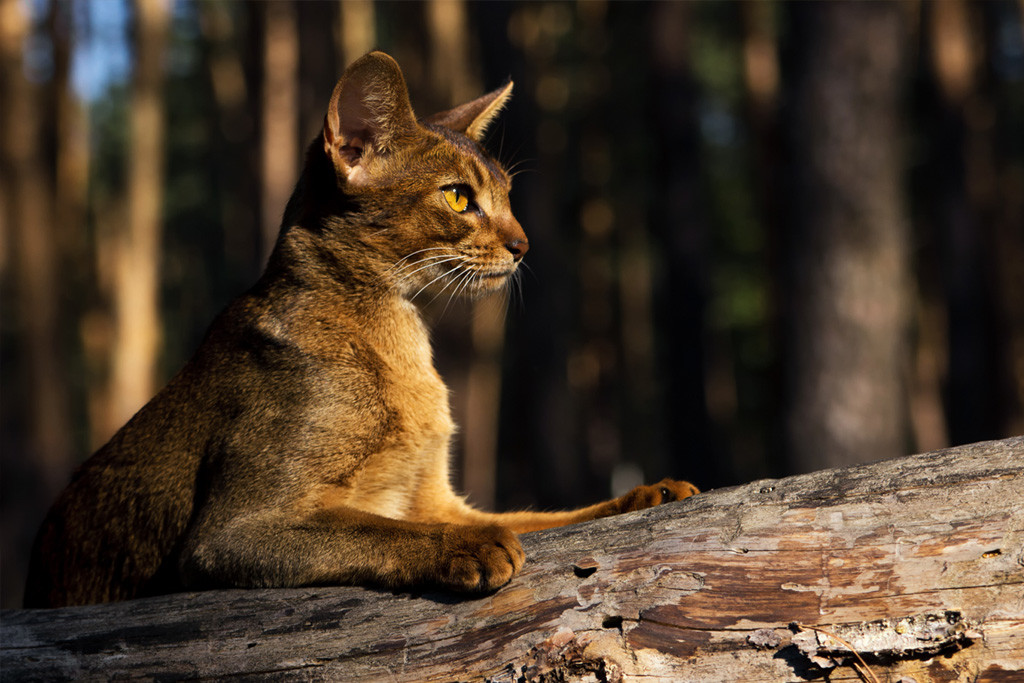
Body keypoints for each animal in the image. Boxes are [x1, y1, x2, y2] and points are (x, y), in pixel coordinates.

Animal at [24, 52, 700, 610]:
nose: (522, 245)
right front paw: (470, 545)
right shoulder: (232, 531)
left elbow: (549, 515)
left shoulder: (436, 494)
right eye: (459, 198)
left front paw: (649, 494)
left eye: (507, 195)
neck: (400, 340)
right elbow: (382, 526)